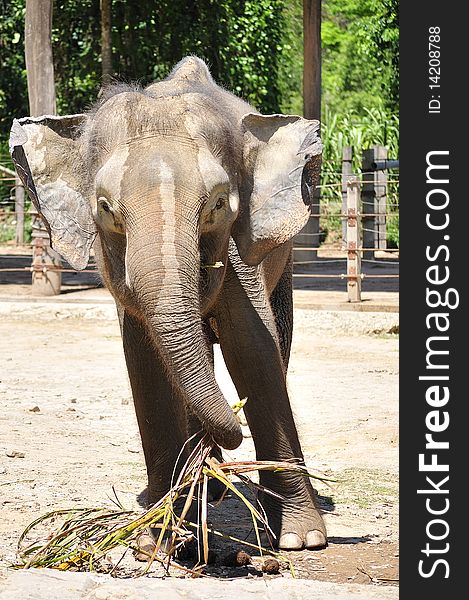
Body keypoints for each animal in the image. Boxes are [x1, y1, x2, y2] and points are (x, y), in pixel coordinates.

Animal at [10, 56, 326, 548]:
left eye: (218, 204)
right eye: (106, 208)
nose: (232, 429)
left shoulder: (239, 249)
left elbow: (253, 350)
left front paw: (300, 540)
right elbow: (145, 362)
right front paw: (157, 537)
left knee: (277, 336)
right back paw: (206, 481)